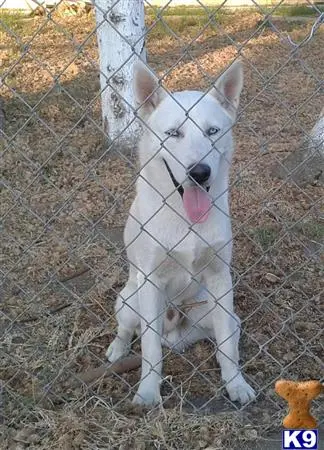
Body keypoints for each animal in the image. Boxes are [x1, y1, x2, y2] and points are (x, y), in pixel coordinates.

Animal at [106, 59, 256, 408]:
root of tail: (174, 336)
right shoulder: (150, 282)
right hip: (130, 299)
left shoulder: (220, 276)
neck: (186, 219)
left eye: (212, 131)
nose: (199, 172)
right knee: (128, 330)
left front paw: (235, 384)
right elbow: (149, 350)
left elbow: (226, 347)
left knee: (227, 335)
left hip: (219, 312)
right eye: (174, 133)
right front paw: (148, 393)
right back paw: (118, 349)